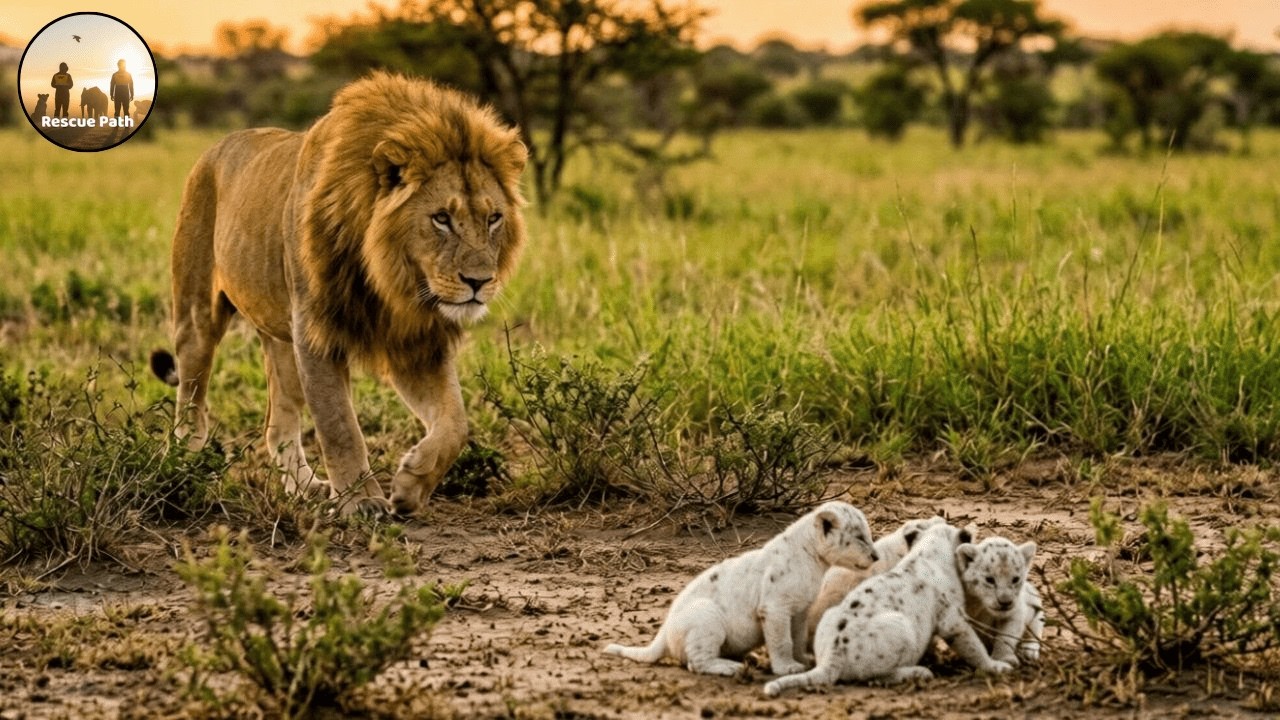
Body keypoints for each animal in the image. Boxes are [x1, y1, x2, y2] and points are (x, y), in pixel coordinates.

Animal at [150, 72, 528, 515]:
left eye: (493, 218)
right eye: (441, 218)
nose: (479, 281)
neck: (392, 283)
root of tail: (215, 147)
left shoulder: (416, 343)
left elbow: (456, 424)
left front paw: (411, 484)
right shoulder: (316, 332)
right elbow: (339, 425)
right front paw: (361, 501)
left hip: (280, 339)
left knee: (277, 425)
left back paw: (306, 488)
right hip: (197, 315)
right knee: (190, 404)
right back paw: (181, 472)